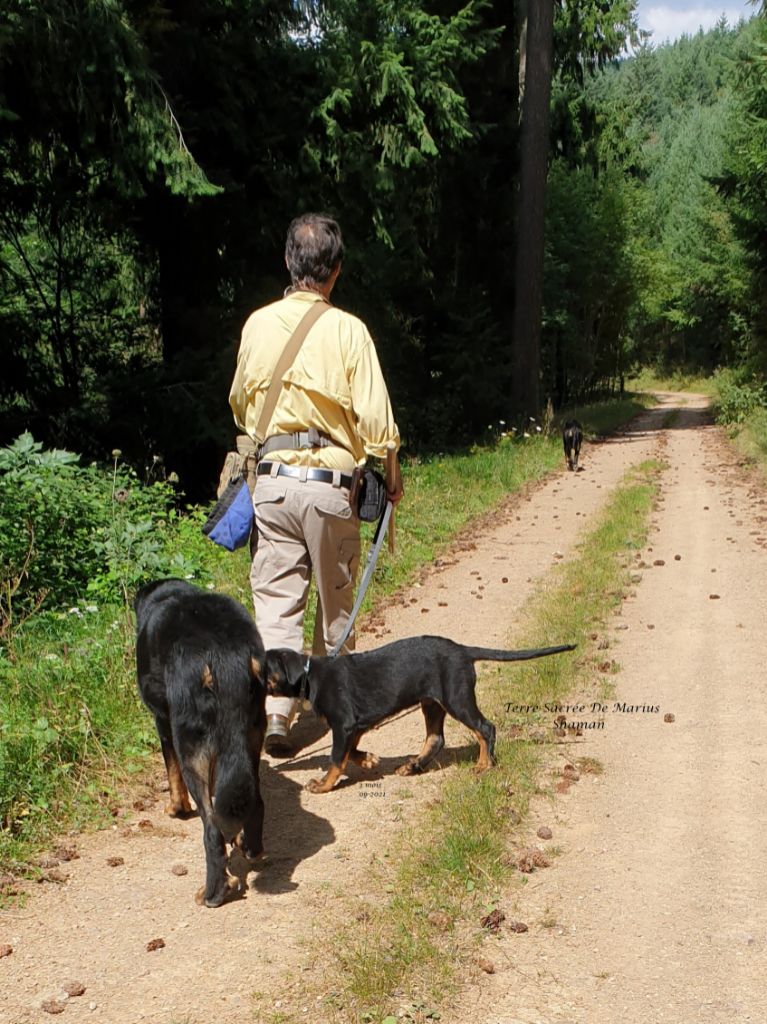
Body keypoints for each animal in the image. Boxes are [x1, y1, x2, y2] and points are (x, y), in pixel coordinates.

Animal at [136, 581, 268, 909]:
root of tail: (224, 656)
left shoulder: (163, 721)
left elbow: (171, 771)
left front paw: (176, 807)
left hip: (191, 747)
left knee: (211, 830)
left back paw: (214, 892)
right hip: (251, 735)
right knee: (253, 803)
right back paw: (251, 850)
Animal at [260, 638, 573, 790]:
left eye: (264, 666)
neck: (310, 676)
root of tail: (463, 651)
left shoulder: (345, 725)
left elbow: (336, 758)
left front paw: (323, 785)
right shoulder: (355, 726)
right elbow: (352, 752)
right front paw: (370, 760)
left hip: (456, 698)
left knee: (486, 728)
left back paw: (484, 764)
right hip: (432, 703)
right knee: (436, 739)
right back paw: (413, 766)